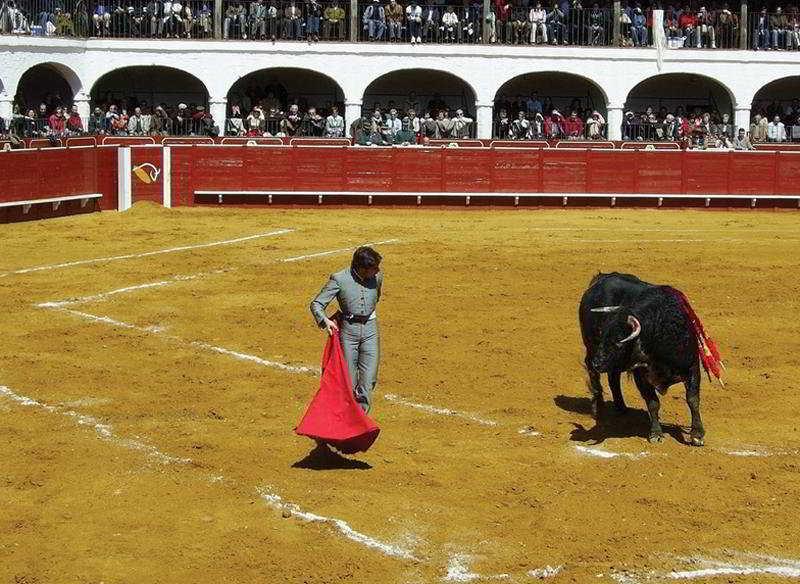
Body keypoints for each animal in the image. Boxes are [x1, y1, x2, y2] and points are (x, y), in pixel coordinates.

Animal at [580, 274, 704, 448]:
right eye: (603, 335)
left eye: (619, 342)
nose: (597, 363)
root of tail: (600, 278)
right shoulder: (641, 375)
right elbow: (653, 403)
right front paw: (656, 434)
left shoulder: (692, 368)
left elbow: (692, 399)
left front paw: (697, 435)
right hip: (590, 347)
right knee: (596, 376)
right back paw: (598, 407)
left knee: (613, 377)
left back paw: (621, 406)